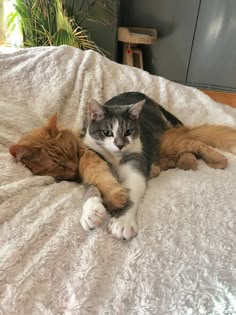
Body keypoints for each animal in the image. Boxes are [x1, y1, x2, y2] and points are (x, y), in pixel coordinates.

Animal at [80, 92, 182, 241]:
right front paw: (91, 212)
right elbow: (93, 183)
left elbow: (132, 190)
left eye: (128, 131)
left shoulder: (136, 160)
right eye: (107, 132)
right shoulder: (93, 157)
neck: (114, 157)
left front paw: (122, 222)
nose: (120, 145)